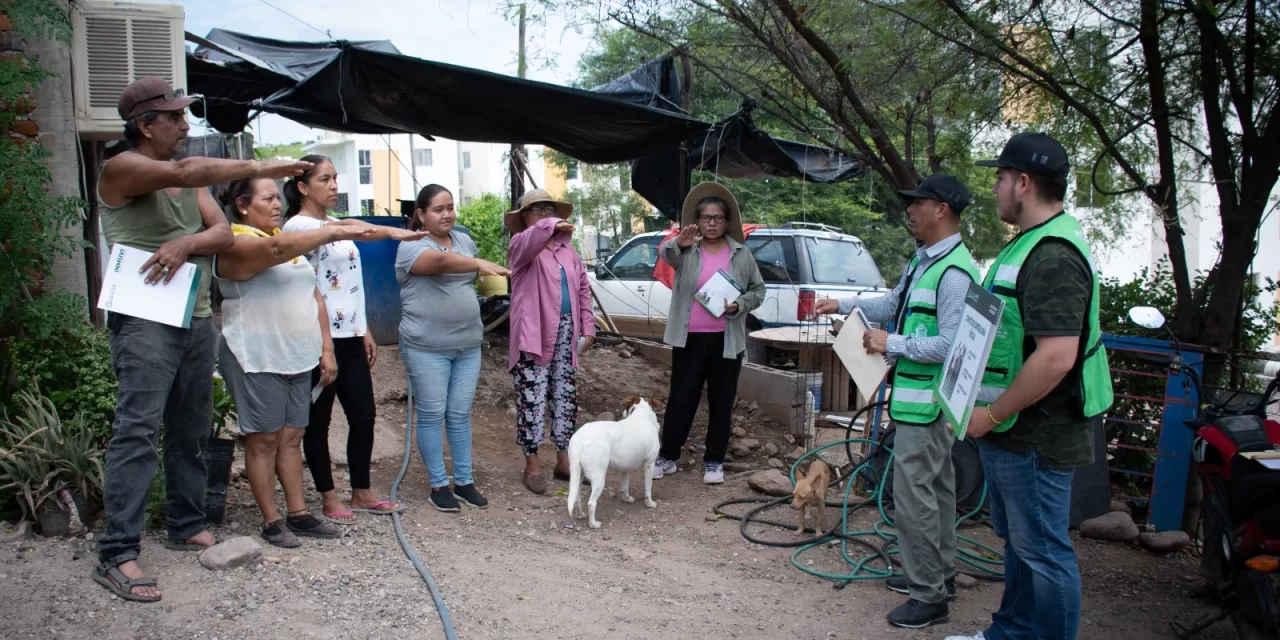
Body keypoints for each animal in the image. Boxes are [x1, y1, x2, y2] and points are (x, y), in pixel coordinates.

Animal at [573, 396, 670, 527]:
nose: (622, 412)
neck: (641, 415)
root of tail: (582, 438)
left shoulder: (624, 469)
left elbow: (625, 486)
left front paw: (627, 499)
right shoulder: (649, 465)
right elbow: (648, 488)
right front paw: (649, 503)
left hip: (578, 475)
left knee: (576, 498)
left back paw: (580, 515)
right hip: (599, 479)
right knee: (591, 503)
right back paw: (593, 524)